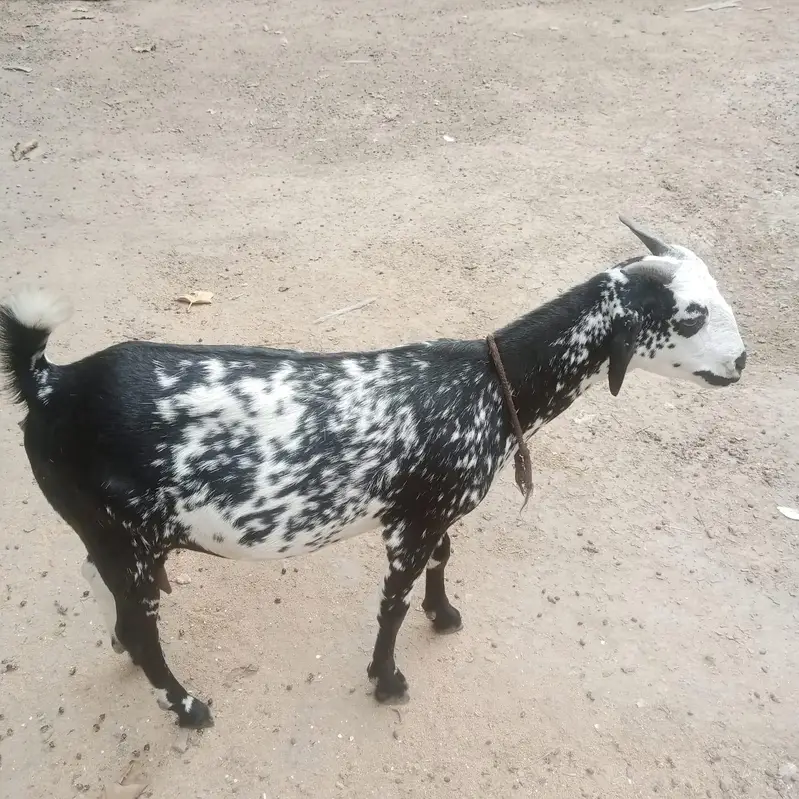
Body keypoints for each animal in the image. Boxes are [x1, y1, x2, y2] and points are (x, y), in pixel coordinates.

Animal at [0, 216, 746, 728]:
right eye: (689, 317)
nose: (741, 361)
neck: (487, 385)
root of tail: (51, 384)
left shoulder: (432, 510)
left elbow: (444, 559)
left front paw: (444, 615)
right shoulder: (409, 524)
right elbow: (392, 602)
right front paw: (387, 680)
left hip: (112, 535)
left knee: (111, 595)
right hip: (121, 536)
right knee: (144, 626)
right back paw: (186, 705)